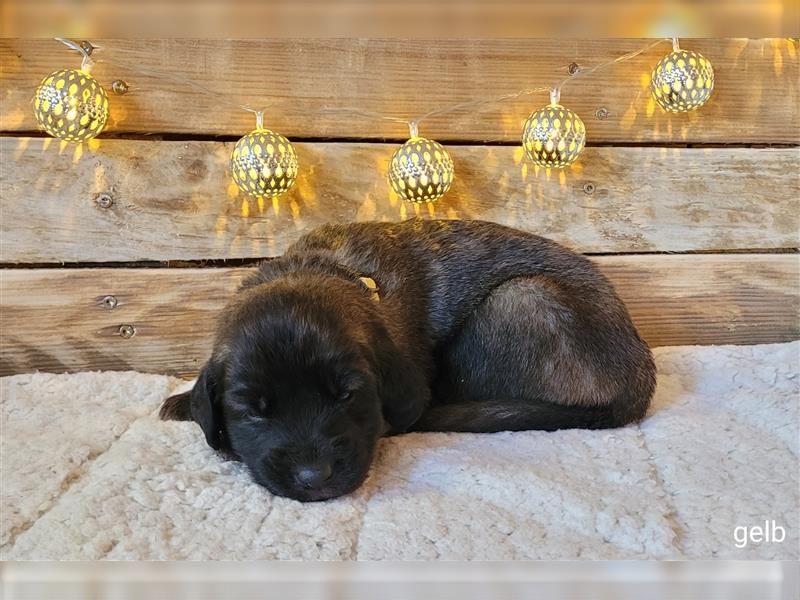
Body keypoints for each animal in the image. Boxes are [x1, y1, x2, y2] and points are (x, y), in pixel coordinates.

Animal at [159, 220, 652, 502]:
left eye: (348, 395)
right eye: (252, 411)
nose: (314, 477)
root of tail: (639, 382)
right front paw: (184, 400)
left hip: (518, 299)